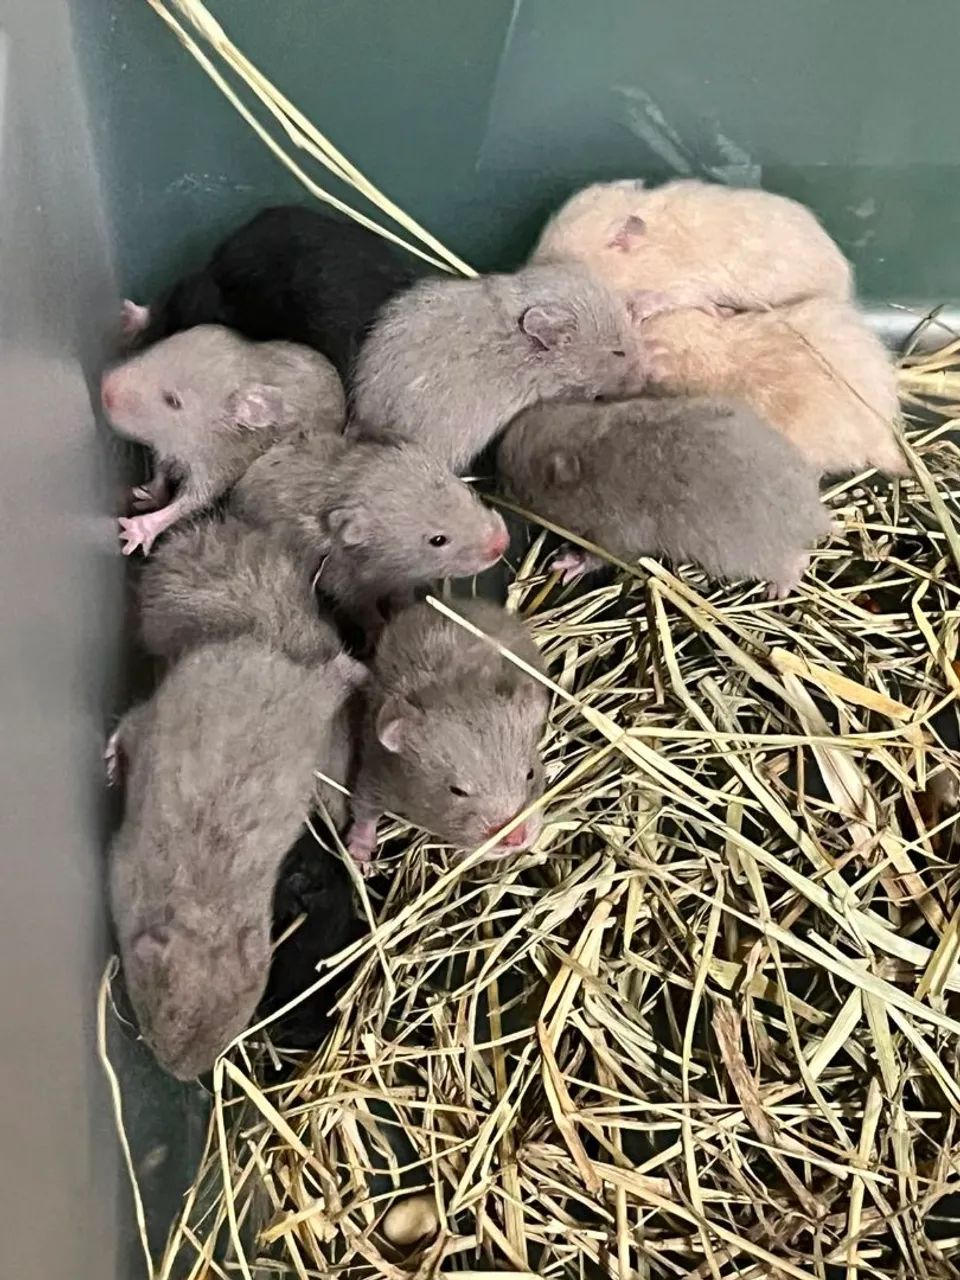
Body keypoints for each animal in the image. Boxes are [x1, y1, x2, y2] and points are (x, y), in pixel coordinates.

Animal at [101, 325, 345, 555]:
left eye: (172, 401)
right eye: (156, 348)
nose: (104, 389)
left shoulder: (221, 462)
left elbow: (192, 500)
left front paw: (141, 528)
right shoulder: (169, 445)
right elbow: (161, 467)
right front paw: (153, 492)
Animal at [231, 430, 509, 636]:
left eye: (465, 490)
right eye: (438, 540)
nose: (501, 544)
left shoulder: (400, 581)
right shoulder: (345, 585)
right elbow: (364, 612)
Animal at [348, 600, 549, 872]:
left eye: (530, 774)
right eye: (457, 791)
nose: (515, 839)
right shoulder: (380, 769)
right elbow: (365, 806)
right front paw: (359, 855)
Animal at [497, 396, 832, 597]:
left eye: (515, 486)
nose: (496, 486)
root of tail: (814, 514)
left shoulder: (615, 537)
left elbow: (595, 558)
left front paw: (564, 564)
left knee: (797, 562)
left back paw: (776, 590)